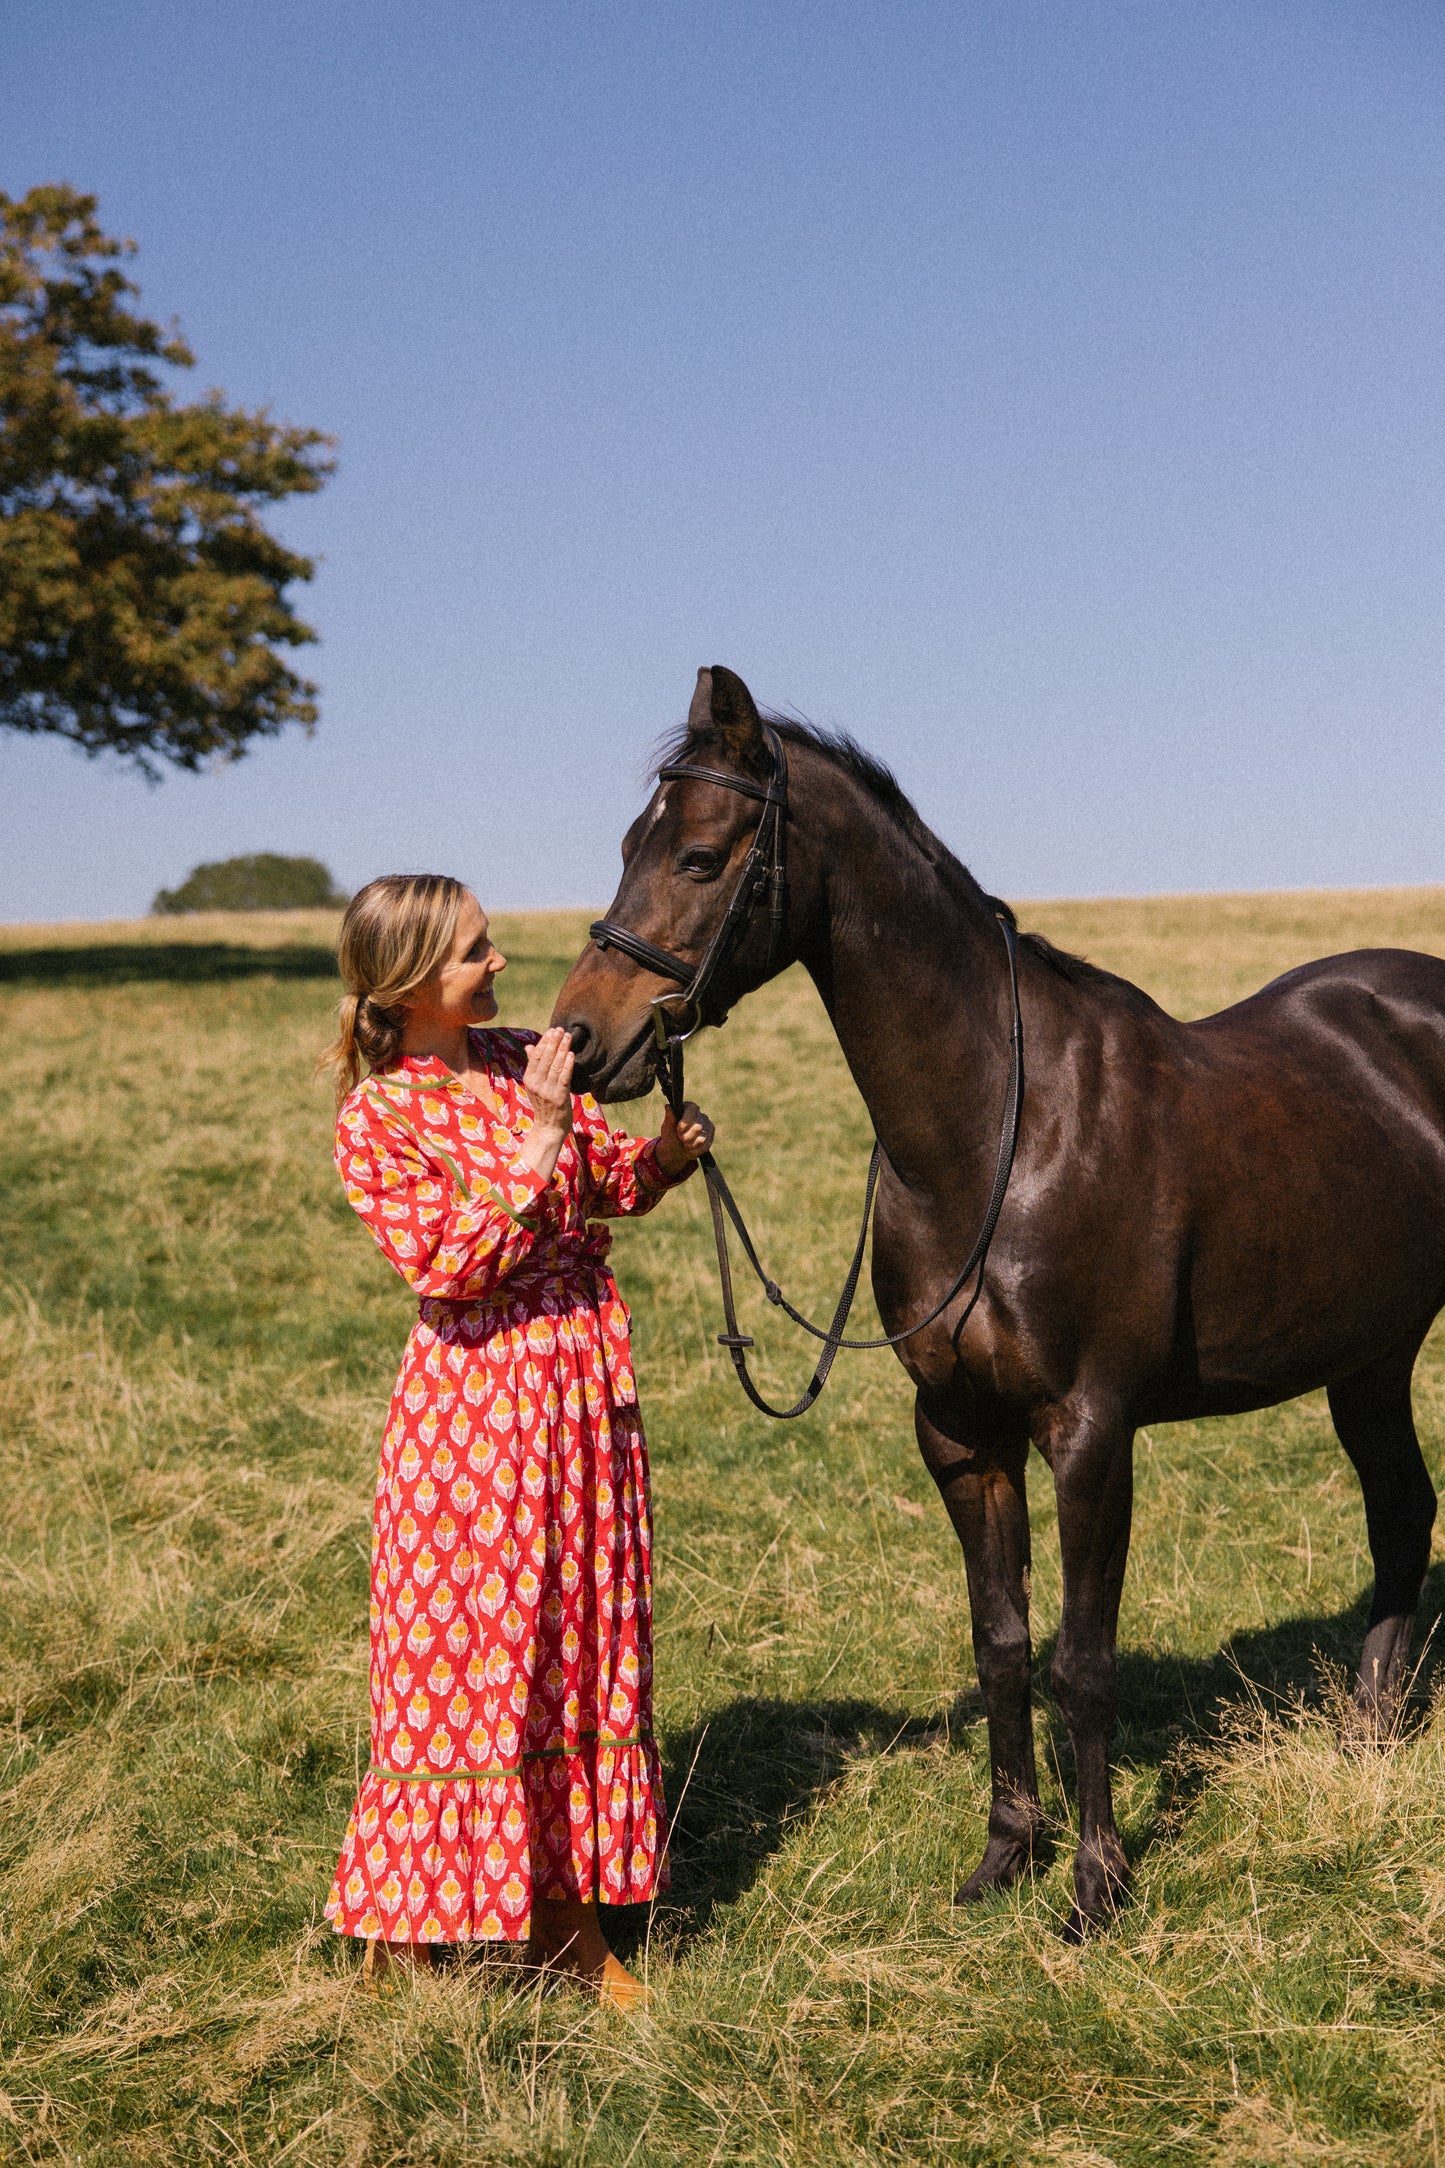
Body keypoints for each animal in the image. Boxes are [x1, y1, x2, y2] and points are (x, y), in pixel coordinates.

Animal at [550, 659, 1445, 1933]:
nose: (582, 1037)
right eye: (633, 841)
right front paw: (1006, 1853)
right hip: (1367, 1355)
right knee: (1397, 1511)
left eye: (702, 856)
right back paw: (1367, 1736)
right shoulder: (961, 1432)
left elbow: (1083, 1659)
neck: (995, 1137)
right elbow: (1004, 1642)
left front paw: (1095, 1885)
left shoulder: (1089, 1431)